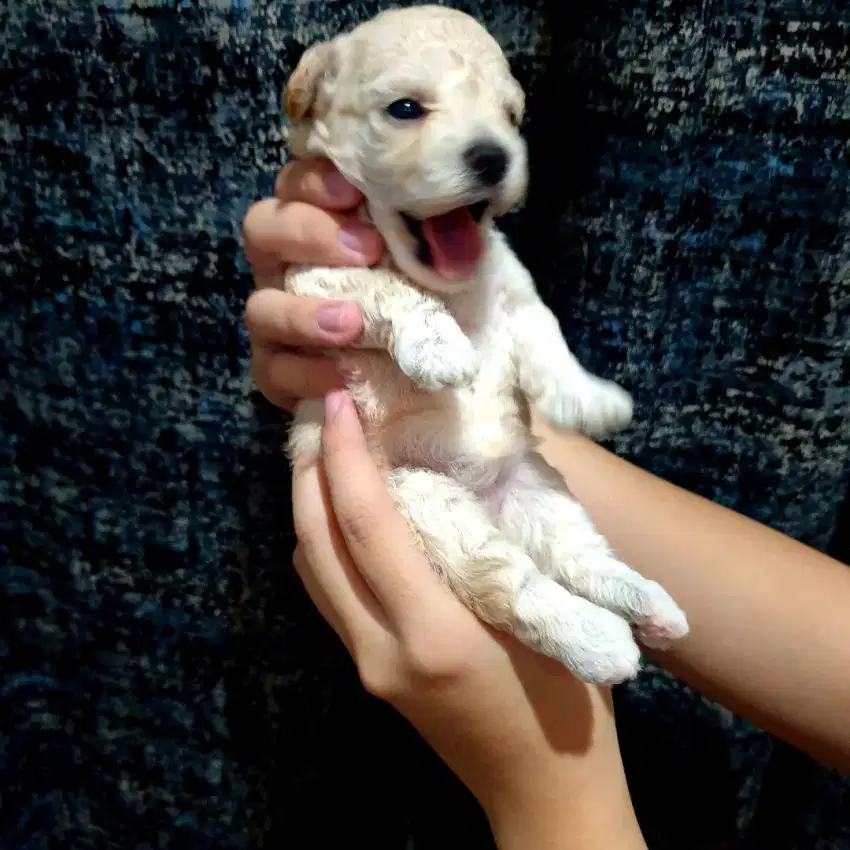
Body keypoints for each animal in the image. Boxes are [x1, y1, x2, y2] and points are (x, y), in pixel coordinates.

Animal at [274, 4, 684, 684]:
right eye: (405, 109)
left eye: (512, 117)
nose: (494, 157)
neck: (453, 284)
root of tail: (485, 495)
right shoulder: (317, 277)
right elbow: (388, 289)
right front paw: (440, 348)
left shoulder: (517, 290)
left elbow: (547, 339)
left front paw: (587, 399)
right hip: (427, 505)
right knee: (517, 584)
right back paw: (601, 640)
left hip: (542, 492)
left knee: (582, 558)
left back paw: (646, 603)